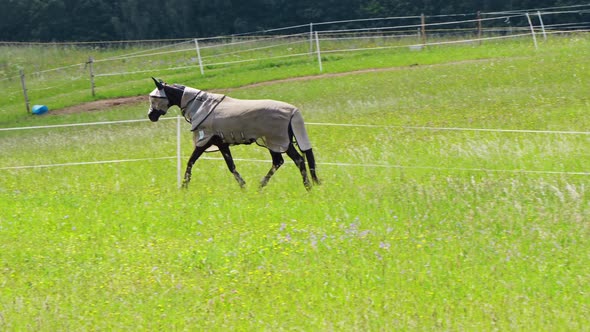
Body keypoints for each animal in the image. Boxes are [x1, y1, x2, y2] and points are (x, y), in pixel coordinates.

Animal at [150, 78, 322, 191]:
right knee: (281, 161)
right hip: (275, 143)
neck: (200, 105)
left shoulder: (204, 141)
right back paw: (261, 186)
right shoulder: (222, 144)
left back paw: (307, 187)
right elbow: (231, 165)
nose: (151, 116)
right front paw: (243, 186)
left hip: (278, 142)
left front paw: (184, 187)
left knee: (297, 160)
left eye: (154, 99)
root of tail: (293, 111)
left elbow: (191, 162)